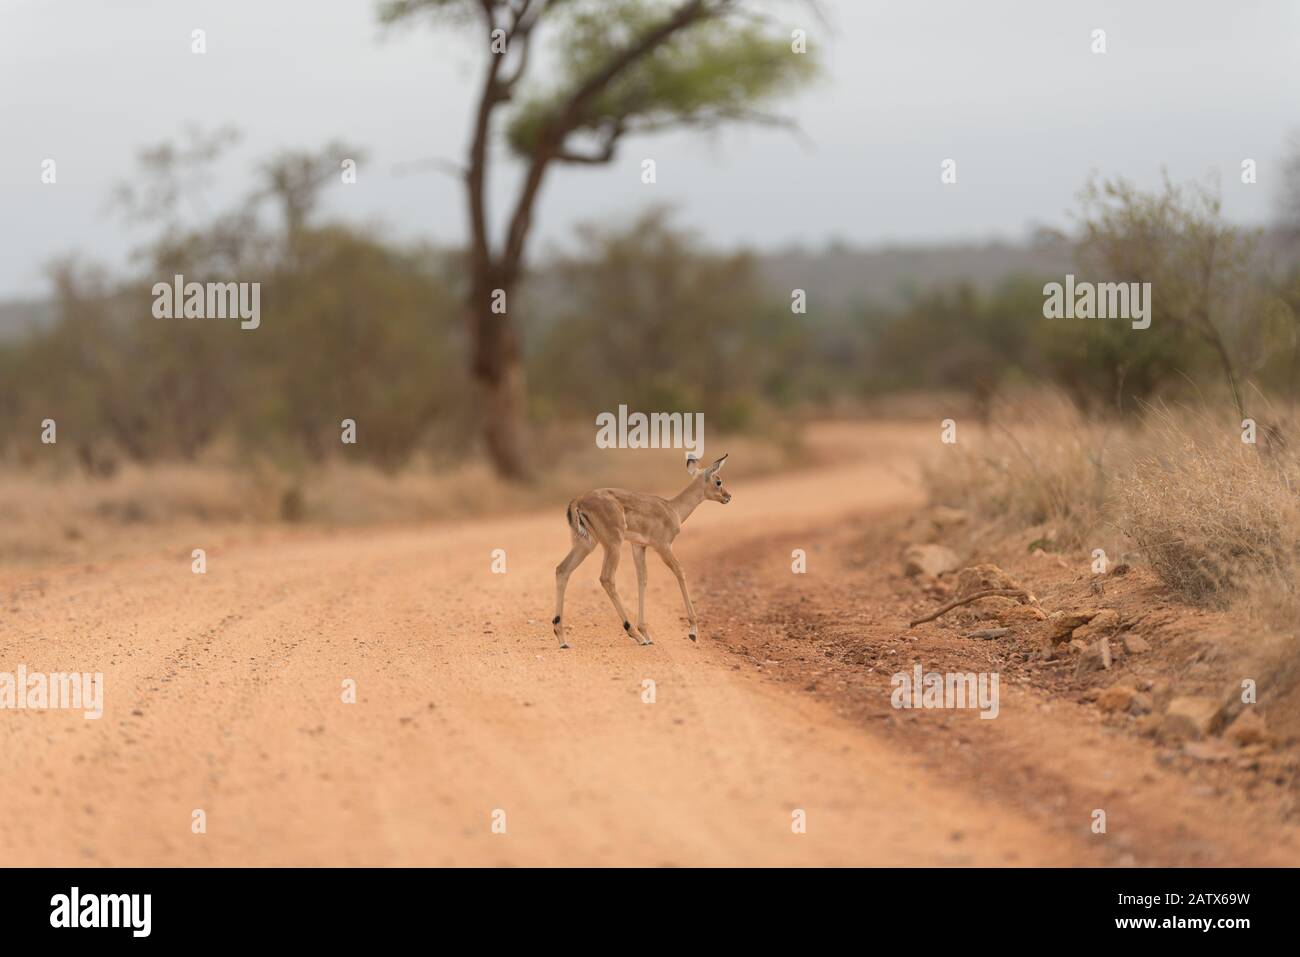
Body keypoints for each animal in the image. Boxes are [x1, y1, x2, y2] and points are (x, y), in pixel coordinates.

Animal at [552, 454, 732, 649]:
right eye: (718, 481)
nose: (728, 496)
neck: (673, 510)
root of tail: (579, 500)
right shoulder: (663, 546)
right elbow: (680, 571)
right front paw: (692, 631)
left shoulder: (638, 547)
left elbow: (642, 579)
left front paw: (646, 632)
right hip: (613, 545)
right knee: (606, 578)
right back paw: (634, 634)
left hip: (585, 544)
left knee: (562, 570)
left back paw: (563, 639)